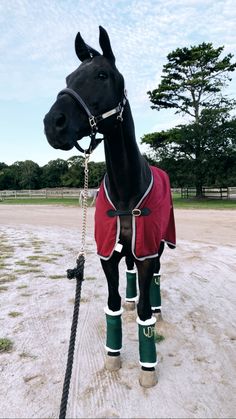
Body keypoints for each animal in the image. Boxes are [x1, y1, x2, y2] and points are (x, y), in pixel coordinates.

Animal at [43, 25, 175, 388]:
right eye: (69, 76)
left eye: (102, 75)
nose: (53, 123)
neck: (126, 188)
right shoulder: (107, 253)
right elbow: (113, 303)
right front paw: (113, 355)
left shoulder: (147, 250)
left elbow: (144, 308)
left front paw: (147, 368)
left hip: (158, 245)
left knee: (155, 281)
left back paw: (156, 308)